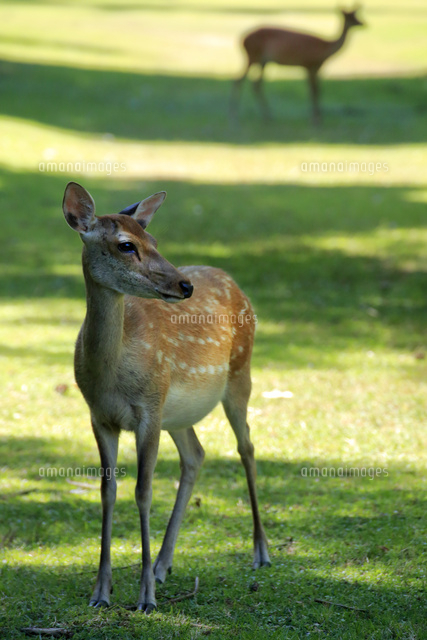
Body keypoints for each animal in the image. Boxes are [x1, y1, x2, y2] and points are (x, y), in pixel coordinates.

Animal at [62, 182, 271, 613]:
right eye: (126, 245)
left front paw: (145, 598)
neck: (111, 376)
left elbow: (143, 492)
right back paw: (163, 564)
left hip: (239, 375)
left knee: (247, 446)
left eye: (154, 240)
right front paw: (101, 592)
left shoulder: (148, 410)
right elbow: (108, 492)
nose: (184, 286)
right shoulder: (99, 416)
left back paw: (260, 551)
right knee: (196, 455)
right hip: (178, 413)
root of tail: (232, 280)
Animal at [231, 8, 364, 125]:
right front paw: (316, 121)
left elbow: (317, 90)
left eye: (356, 15)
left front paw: (317, 119)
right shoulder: (310, 64)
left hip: (263, 61)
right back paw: (235, 117)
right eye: (349, 17)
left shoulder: (316, 68)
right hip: (252, 56)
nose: (363, 23)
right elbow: (314, 91)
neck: (325, 49)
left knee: (256, 84)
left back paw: (267, 116)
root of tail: (242, 40)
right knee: (239, 80)